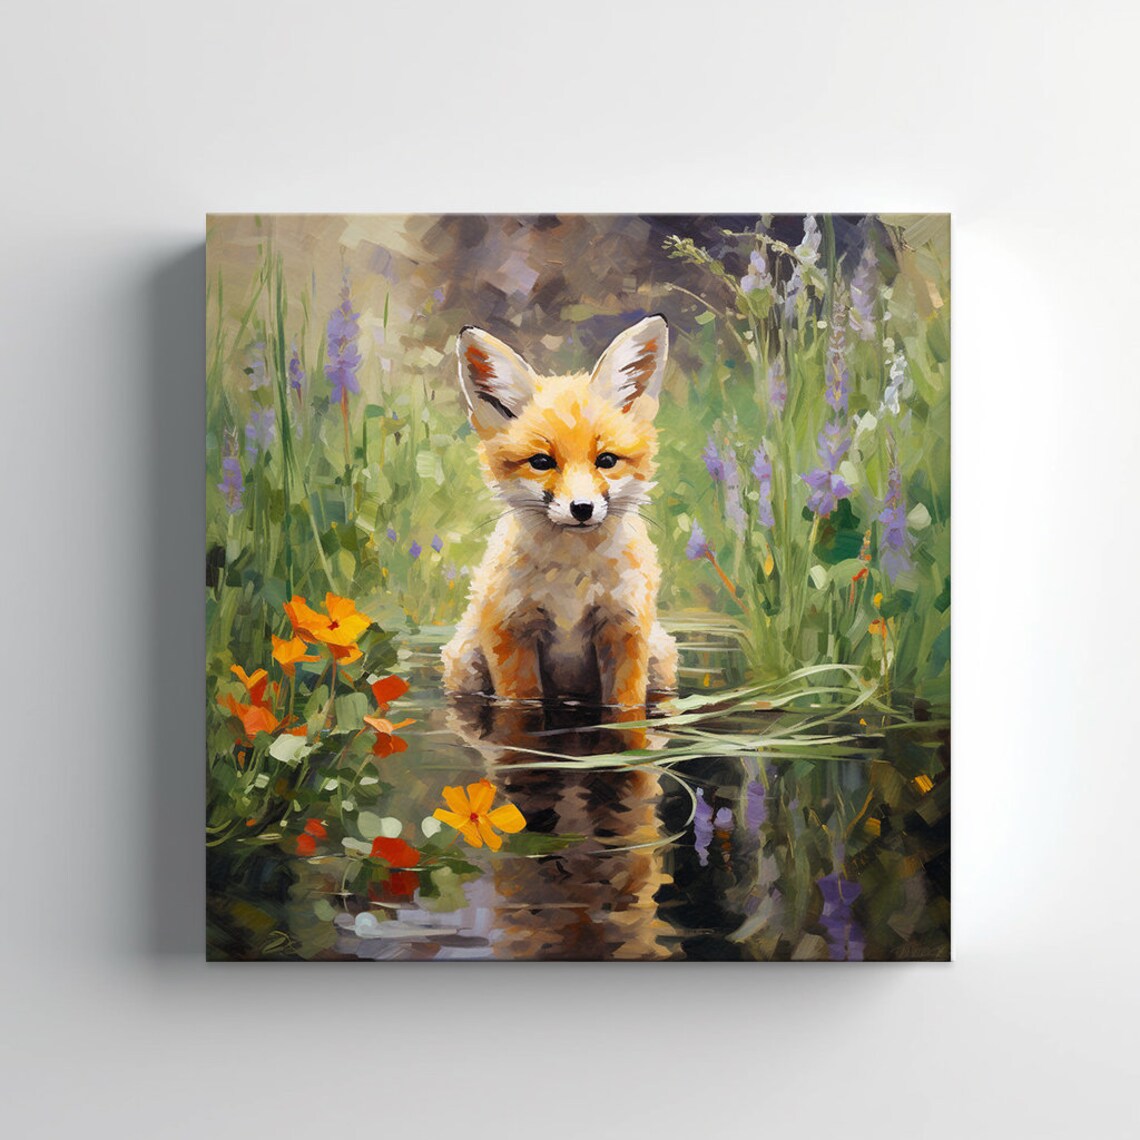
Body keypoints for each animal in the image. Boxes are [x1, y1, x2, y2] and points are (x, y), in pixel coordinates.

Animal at [441, 315, 678, 709]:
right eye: (541, 462)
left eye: (606, 460)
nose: (581, 508)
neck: (572, 581)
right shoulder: (511, 630)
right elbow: (521, 701)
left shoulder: (624, 628)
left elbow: (626, 705)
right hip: (466, 663)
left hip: (661, 659)